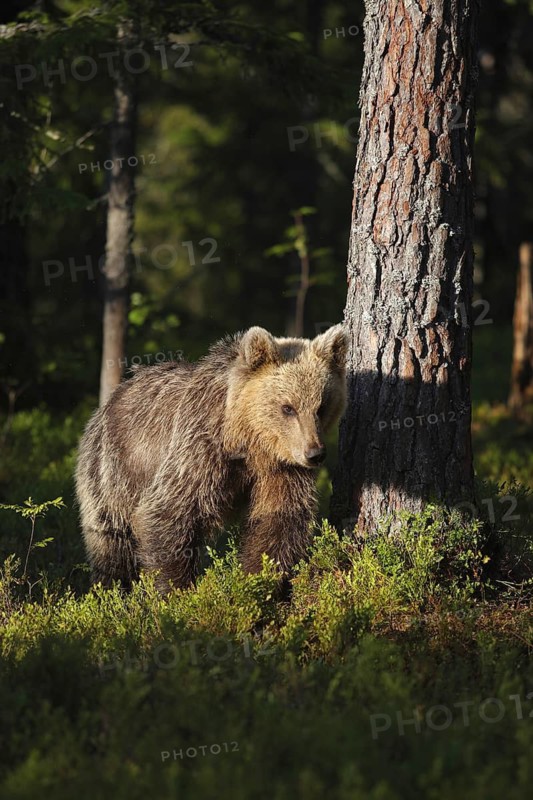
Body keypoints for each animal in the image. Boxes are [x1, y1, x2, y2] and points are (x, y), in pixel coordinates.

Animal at [75, 325, 348, 594]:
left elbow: (279, 518)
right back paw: (111, 589)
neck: (247, 441)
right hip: (112, 466)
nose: (315, 453)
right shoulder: (200, 450)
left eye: (321, 406)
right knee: (110, 539)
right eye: (288, 408)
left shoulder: (281, 466)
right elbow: (169, 512)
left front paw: (260, 580)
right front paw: (177, 589)